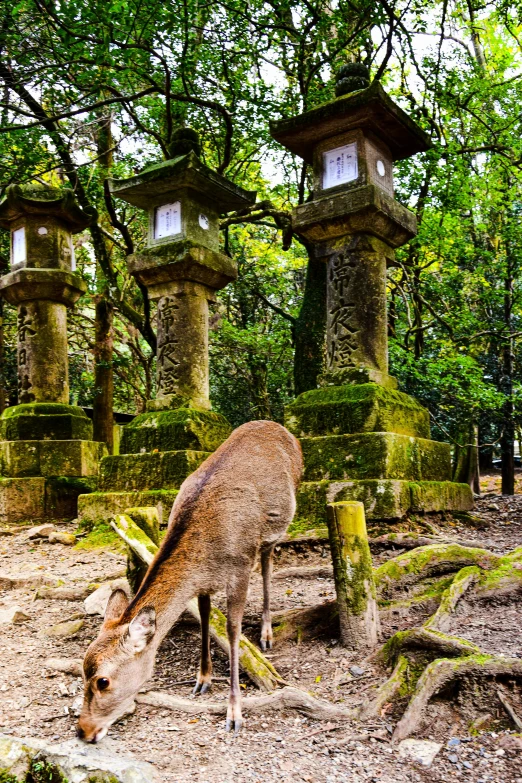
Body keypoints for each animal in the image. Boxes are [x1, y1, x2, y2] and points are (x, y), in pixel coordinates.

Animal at [79, 420, 302, 744]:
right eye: (81, 670)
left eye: (103, 681)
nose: (83, 730)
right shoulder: (203, 581)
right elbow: (206, 618)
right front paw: (202, 679)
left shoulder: (239, 567)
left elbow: (232, 631)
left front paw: (234, 713)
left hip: (272, 533)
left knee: (268, 567)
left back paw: (266, 633)